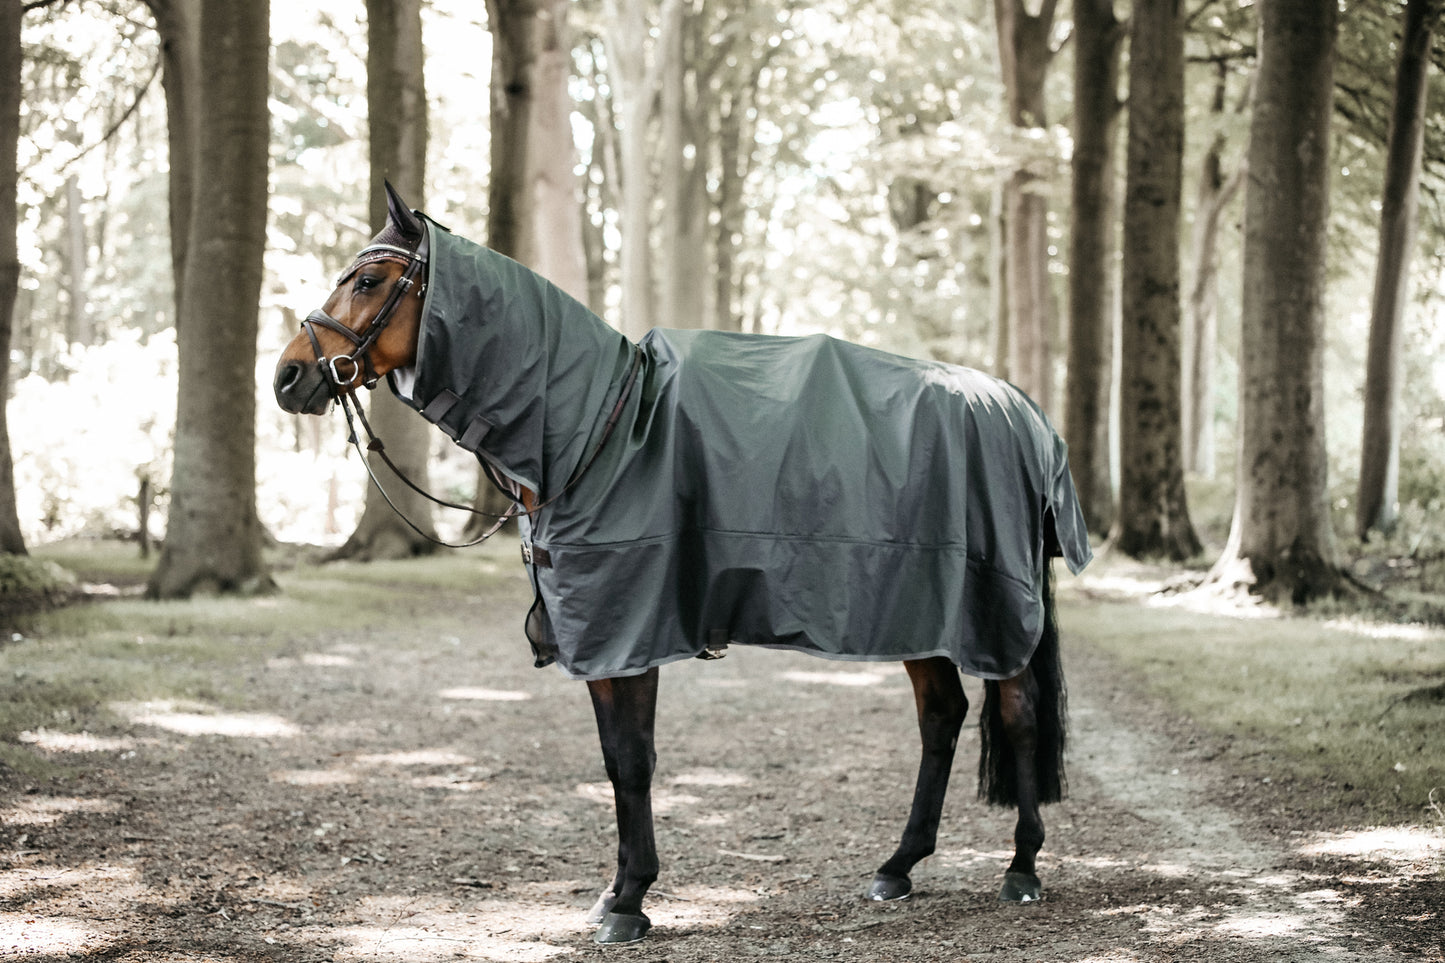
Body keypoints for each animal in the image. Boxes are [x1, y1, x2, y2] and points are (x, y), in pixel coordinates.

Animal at [273, 183, 1092, 945]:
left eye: (368, 280)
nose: (286, 377)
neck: (596, 428)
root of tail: (1021, 412)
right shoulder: (603, 639)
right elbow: (615, 761)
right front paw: (615, 893)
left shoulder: (629, 630)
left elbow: (634, 762)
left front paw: (630, 901)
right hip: (921, 609)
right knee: (942, 716)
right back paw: (898, 866)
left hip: (989, 609)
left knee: (1015, 714)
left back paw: (1022, 868)